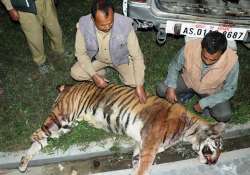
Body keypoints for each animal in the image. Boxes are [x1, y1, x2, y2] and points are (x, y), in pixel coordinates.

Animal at [19, 81, 225, 174]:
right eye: (218, 146)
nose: (215, 163)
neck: (188, 130)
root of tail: (69, 85)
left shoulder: (141, 146)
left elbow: (136, 166)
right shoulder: (149, 146)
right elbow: (143, 169)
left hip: (66, 125)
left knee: (40, 140)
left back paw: (23, 163)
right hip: (62, 117)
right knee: (35, 135)